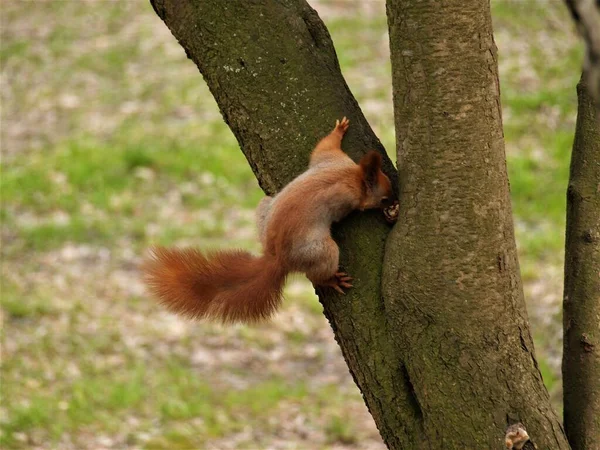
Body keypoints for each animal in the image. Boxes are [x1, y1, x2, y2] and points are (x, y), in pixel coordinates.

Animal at [144, 117, 396, 324]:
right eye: (384, 197)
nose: (394, 200)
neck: (351, 175)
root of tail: (277, 258)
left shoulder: (331, 159)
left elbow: (322, 147)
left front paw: (338, 129)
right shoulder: (345, 193)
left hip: (265, 207)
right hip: (320, 250)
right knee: (315, 273)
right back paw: (331, 280)